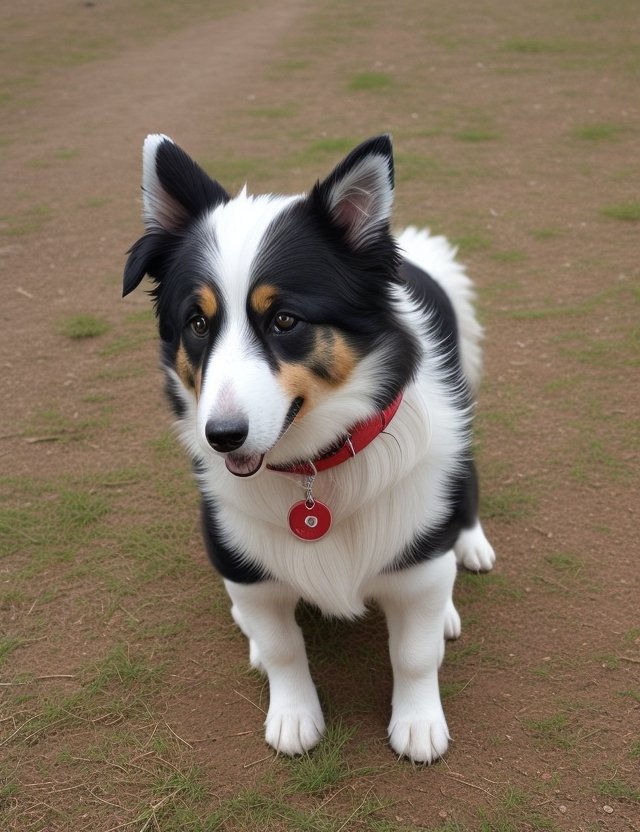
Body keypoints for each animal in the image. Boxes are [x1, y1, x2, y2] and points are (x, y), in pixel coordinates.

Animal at [124, 135, 496, 760]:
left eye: (284, 319)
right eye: (197, 323)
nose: (221, 435)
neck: (312, 470)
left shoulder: (417, 560)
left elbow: (415, 654)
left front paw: (418, 721)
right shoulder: (243, 561)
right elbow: (281, 648)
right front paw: (294, 714)